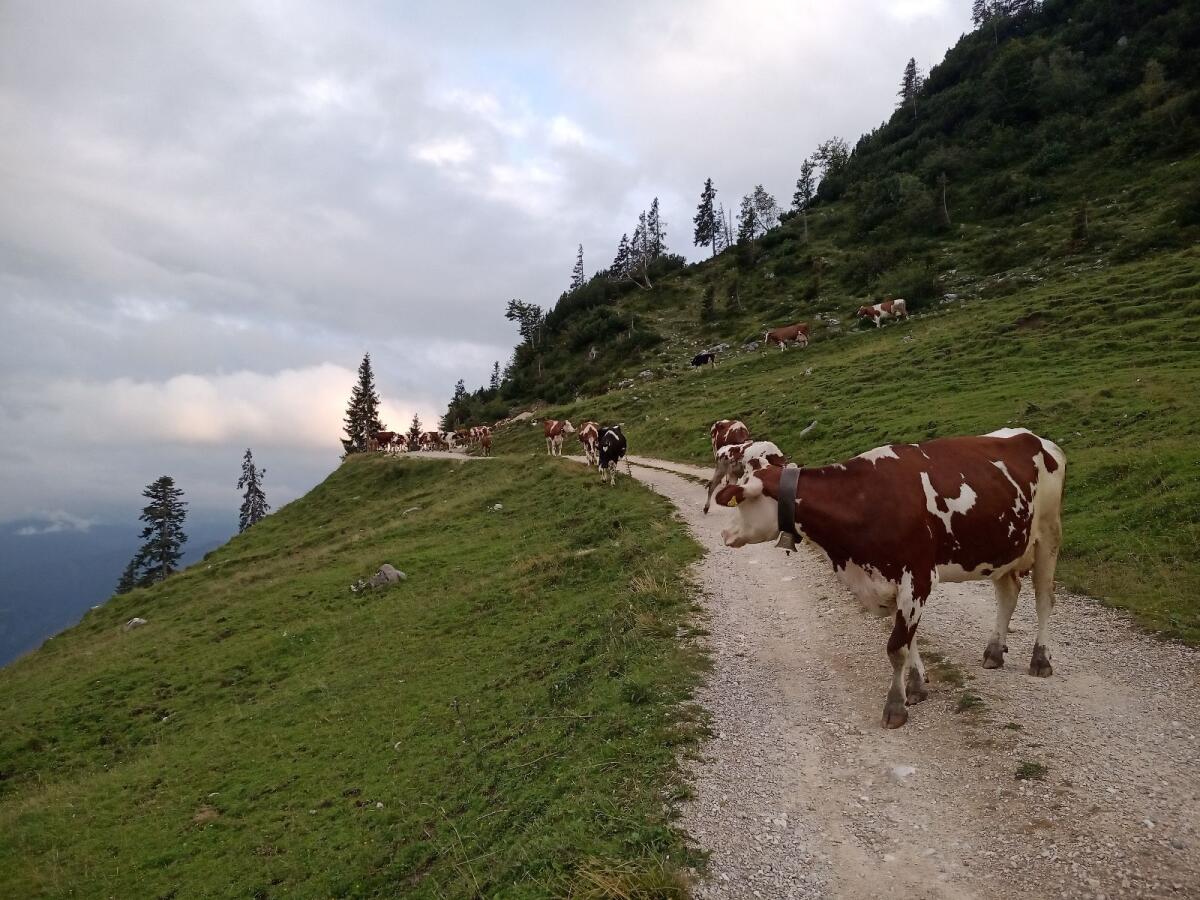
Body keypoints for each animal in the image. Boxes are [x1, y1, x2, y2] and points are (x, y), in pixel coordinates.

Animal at [714, 428, 1066, 729]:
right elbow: (908, 641)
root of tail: (1036, 438)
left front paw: (896, 706)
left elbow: (896, 646)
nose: (725, 533)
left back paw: (1040, 659)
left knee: (1043, 599)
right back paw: (994, 652)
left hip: (1048, 536)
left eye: (741, 500)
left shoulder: (918, 578)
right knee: (1008, 593)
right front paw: (916, 687)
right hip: (1004, 549)